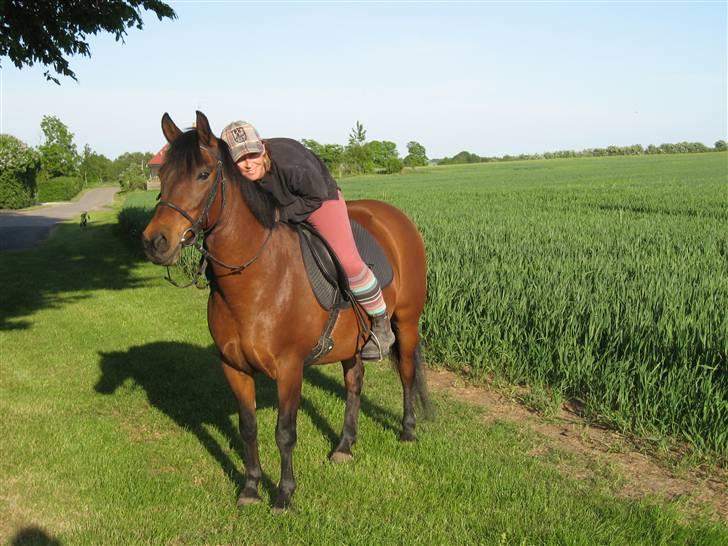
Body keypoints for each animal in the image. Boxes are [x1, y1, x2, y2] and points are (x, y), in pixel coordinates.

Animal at [141, 111, 432, 510]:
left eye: (203, 174)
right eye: (163, 173)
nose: (156, 242)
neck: (257, 279)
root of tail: (396, 217)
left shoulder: (290, 369)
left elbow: (284, 432)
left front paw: (283, 494)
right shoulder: (233, 368)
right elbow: (248, 428)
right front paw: (250, 487)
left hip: (407, 320)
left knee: (405, 372)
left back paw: (407, 430)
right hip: (351, 343)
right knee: (354, 382)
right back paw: (345, 445)